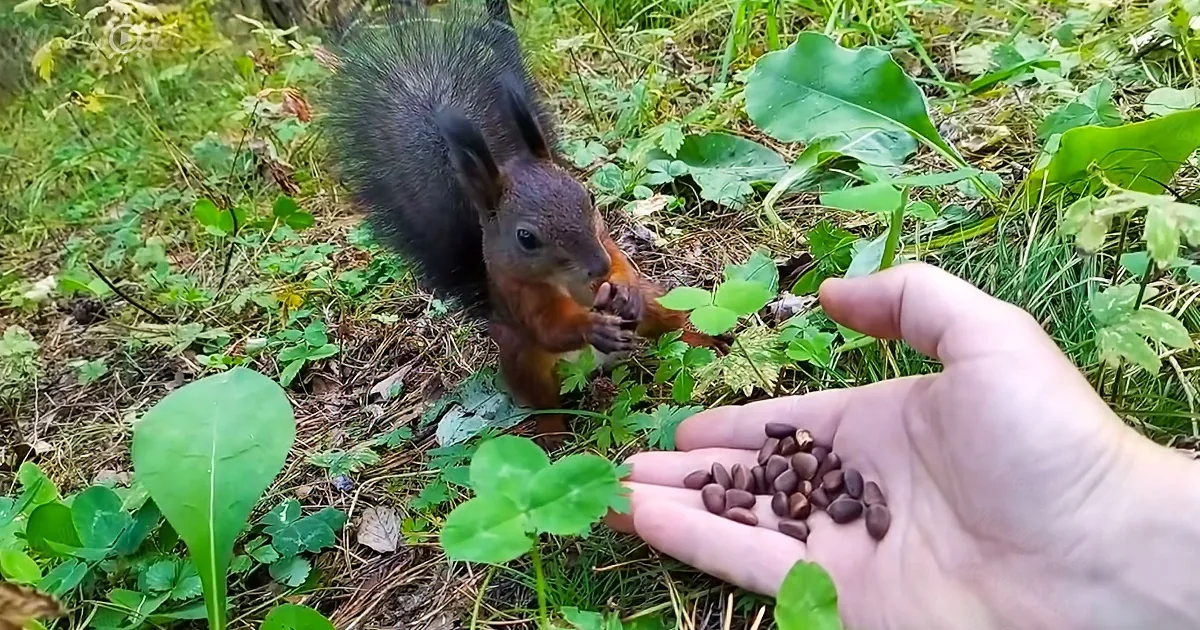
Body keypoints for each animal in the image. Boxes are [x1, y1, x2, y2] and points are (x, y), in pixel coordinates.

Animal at [324, 0, 724, 442]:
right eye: (526, 238)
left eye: (589, 196)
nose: (597, 268)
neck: (567, 279)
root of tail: (597, 368)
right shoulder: (521, 297)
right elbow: (550, 328)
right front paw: (592, 325)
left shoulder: (607, 244)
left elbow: (624, 266)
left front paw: (622, 287)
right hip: (523, 363)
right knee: (546, 404)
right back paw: (555, 438)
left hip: (660, 305)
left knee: (674, 324)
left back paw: (711, 344)